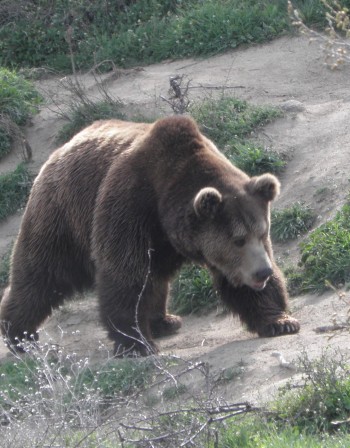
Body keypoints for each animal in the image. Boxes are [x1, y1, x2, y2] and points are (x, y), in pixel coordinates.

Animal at [0, 115, 300, 356]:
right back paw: (20, 334)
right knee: (42, 273)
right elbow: (125, 274)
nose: (262, 272)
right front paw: (137, 343)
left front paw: (281, 321)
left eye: (262, 233)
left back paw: (164, 320)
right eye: (238, 239)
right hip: (63, 216)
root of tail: (60, 149)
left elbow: (239, 284)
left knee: (155, 277)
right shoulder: (130, 205)